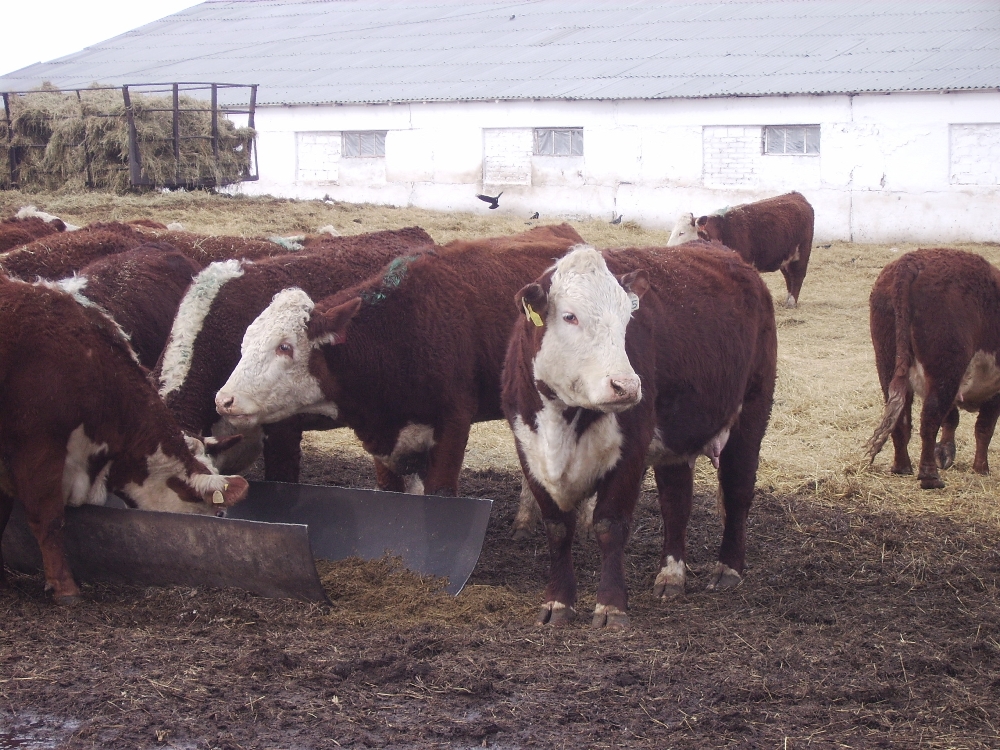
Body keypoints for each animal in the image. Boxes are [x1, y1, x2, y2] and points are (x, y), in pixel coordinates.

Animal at [213, 226, 584, 502]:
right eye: (245, 343)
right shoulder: (383, 439)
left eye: (285, 347)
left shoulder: (453, 424)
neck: (399, 334)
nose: (224, 400)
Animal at [504, 244, 776, 632]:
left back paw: (728, 569)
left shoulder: (630, 453)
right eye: (570, 316)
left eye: (626, 319)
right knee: (676, 504)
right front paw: (557, 602)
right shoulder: (529, 449)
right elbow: (557, 528)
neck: (564, 421)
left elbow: (610, 526)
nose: (627, 386)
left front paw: (610, 606)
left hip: (751, 411)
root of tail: (729, 255)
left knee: (738, 490)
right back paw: (671, 575)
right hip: (676, 443)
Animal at [868, 250, 1000, 490]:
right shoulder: (993, 390)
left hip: (887, 362)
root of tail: (909, 263)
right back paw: (930, 477)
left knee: (901, 420)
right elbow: (984, 429)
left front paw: (946, 453)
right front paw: (981, 469)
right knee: (929, 419)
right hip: (945, 371)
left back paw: (902, 467)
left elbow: (952, 419)